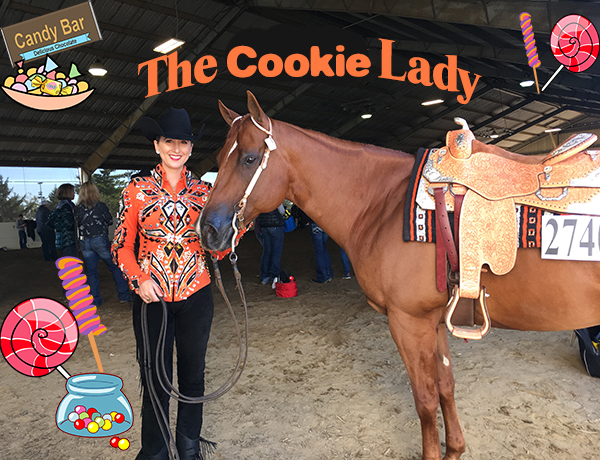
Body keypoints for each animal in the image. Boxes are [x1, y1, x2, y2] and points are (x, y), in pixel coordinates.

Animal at [199, 91, 600, 458]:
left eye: (249, 158)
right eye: (217, 160)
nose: (208, 230)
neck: (383, 204)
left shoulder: (408, 322)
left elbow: (424, 398)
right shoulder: (434, 322)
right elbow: (445, 386)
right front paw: (454, 448)